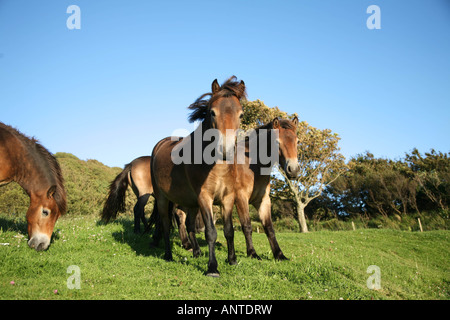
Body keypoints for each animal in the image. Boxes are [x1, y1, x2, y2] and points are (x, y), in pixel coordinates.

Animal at [150, 76, 246, 276]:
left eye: (241, 115)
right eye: (212, 112)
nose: (225, 150)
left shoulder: (227, 198)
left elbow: (229, 231)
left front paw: (232, 260)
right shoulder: (205, 197)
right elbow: (211, 232)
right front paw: (212, 268)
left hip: (190, 203)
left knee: (188, 224)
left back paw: (195, 252)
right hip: (163, 198)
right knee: (165, 224)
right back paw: (168, 255)